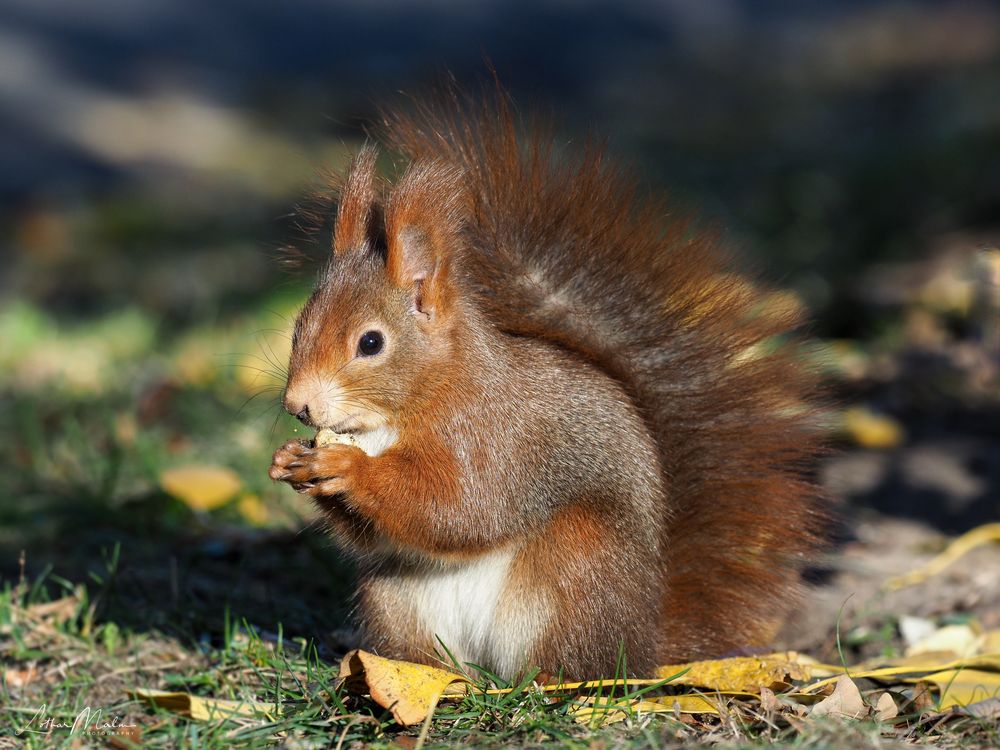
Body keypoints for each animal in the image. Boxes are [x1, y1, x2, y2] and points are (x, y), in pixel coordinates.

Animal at [268, 90, 824, 681]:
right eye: (300, 324)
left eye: (370, 343)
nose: (297, 405)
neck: (403, 411)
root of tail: (642, 642)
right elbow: (380, 532)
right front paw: (289, 460)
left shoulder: (495, 437)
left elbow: (461, 506)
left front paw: (349, 468)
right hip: (396, 598)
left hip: (574, 568)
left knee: (572, 663)